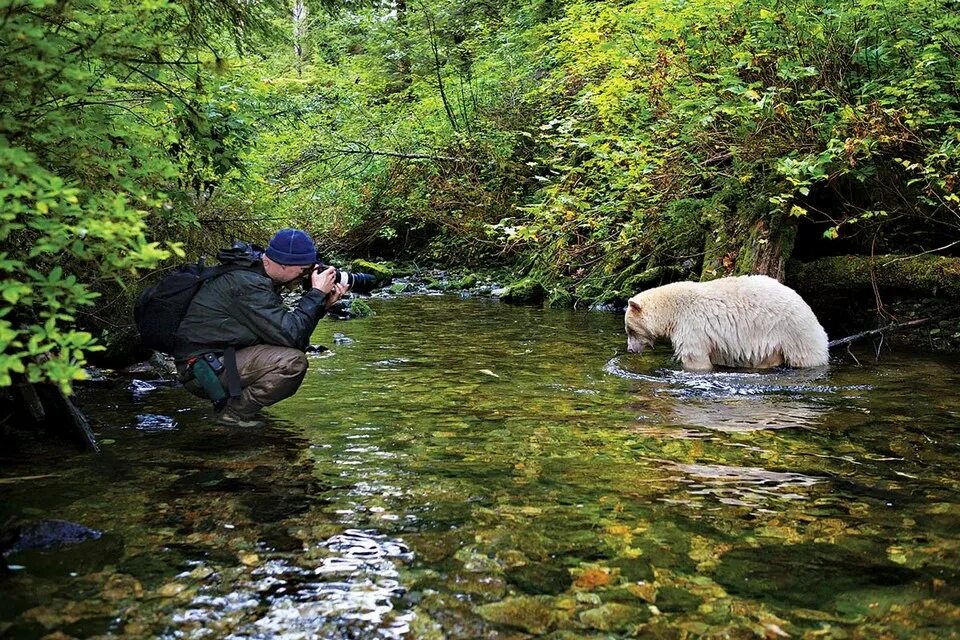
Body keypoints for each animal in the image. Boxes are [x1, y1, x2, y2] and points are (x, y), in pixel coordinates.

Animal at [628, 274, 828, 370]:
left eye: (630, 330)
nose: (630, 349)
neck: (673, 310)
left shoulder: (692, 325)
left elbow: (695, 357)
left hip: (793, 332)